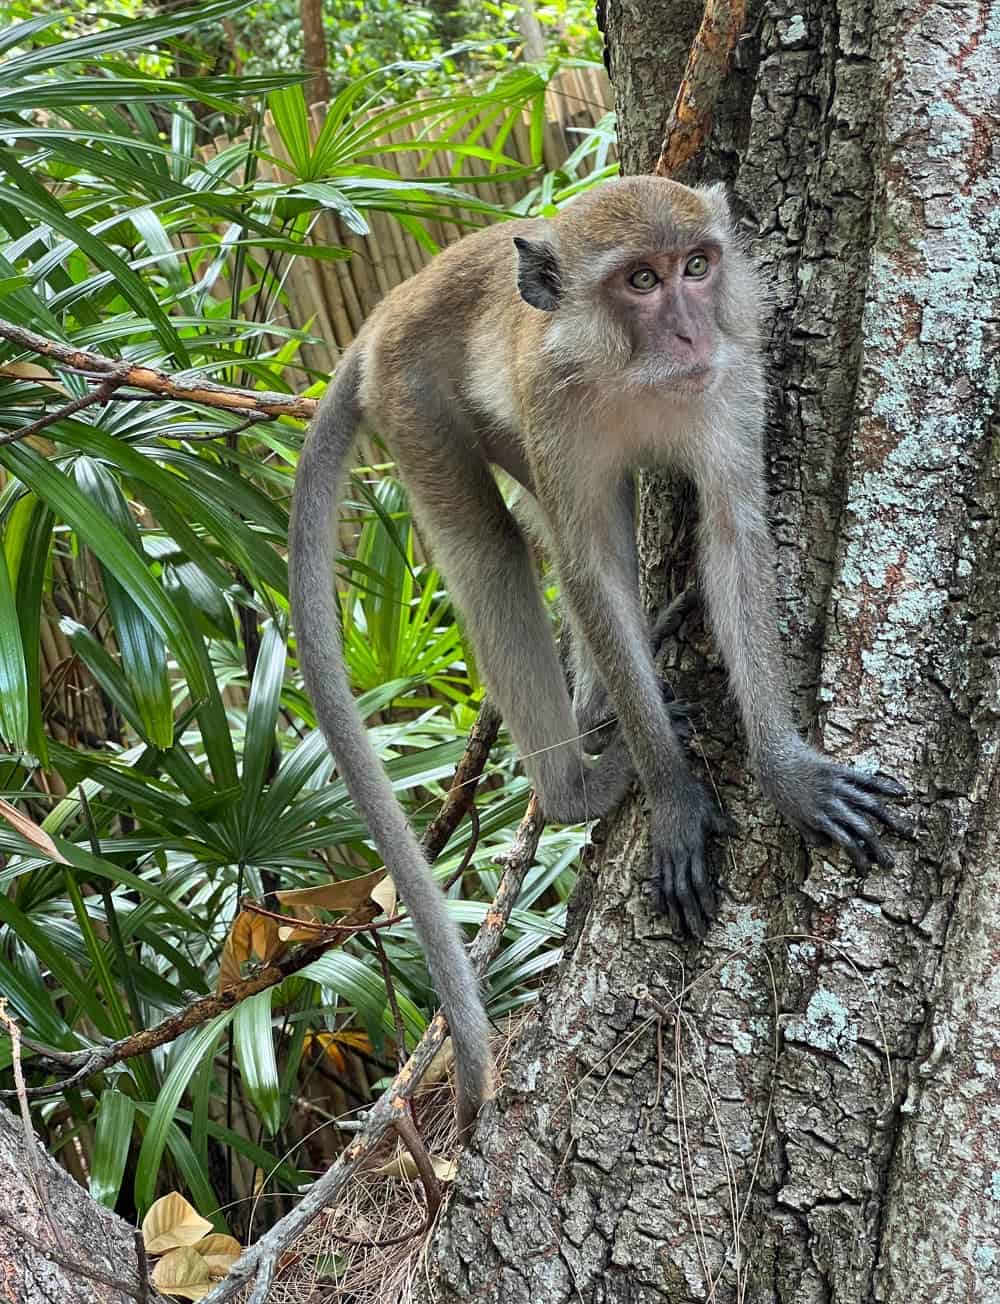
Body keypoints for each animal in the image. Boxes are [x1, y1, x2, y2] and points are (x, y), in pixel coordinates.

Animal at [289, 175, 908, 1139]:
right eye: (641, 282)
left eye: (698, 266)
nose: (690, 333)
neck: (629, 377)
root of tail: (391, 305)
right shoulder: (554, 403)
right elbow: (592, 569)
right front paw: (672, 793)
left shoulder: (733, 379)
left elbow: (734, 539)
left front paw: (785, 771)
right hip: (413, 403)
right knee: (496, 548)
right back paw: (578, 781)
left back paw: (596, 710)